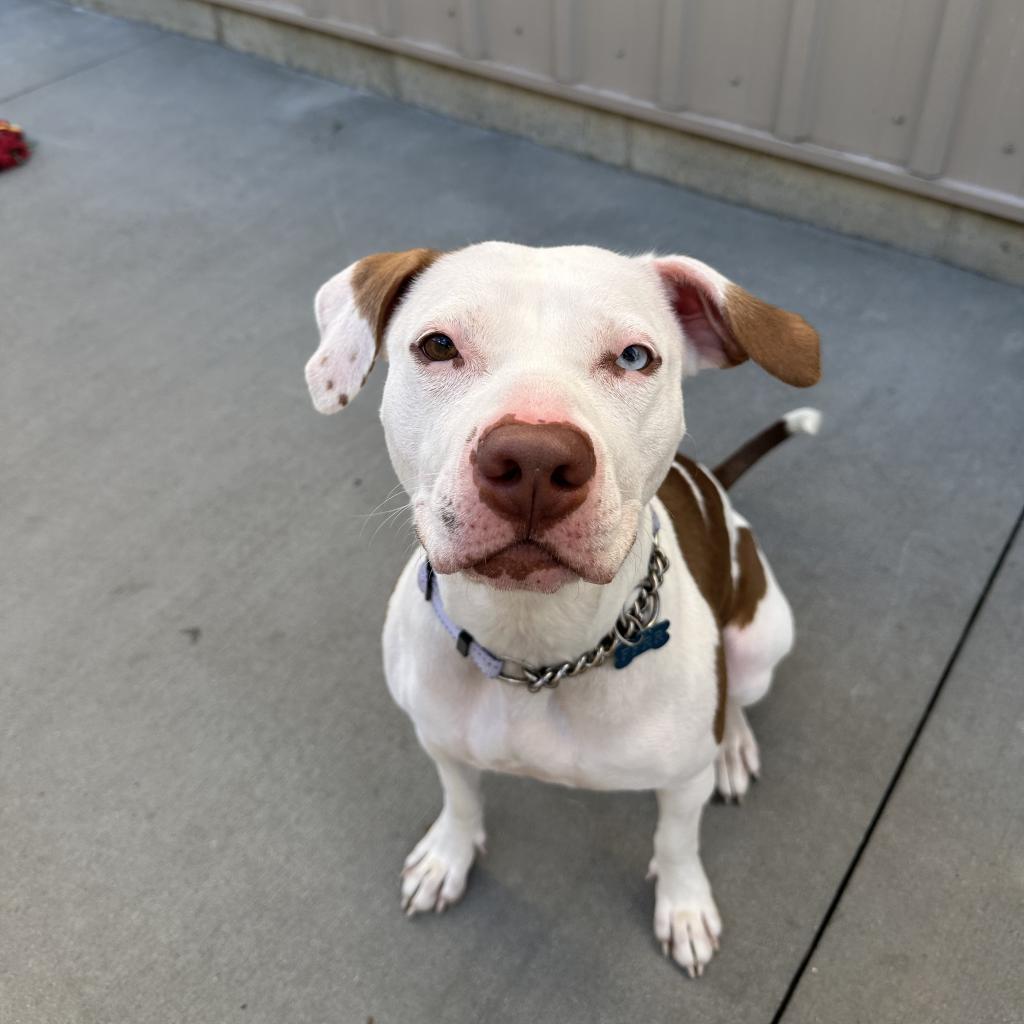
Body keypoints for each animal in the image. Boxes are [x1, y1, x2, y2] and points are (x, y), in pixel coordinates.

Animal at [305, 241, 823, 974]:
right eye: (437, 346)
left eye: (634, 357)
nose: (533, 459)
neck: (535, 648)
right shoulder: (439, 738)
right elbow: (460, 799)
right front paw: (447, 856)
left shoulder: (680, 784)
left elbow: (677, 841)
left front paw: (684, 906)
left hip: (761, 640)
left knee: (740, 698)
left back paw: (733, 746)